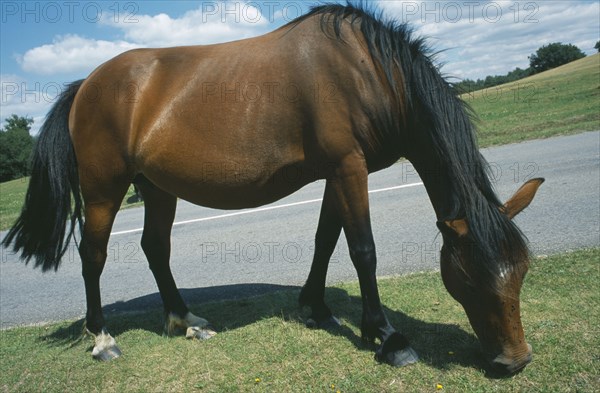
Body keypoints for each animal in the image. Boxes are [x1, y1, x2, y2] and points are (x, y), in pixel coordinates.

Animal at [1, 3, 544, 374]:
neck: (367, 71)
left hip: (155, 188)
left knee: (155, 247)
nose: (515, 360)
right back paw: (103, 339)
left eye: (521, 270)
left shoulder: (338, 171)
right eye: (468, 277)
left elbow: (327, 240)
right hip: (103, 190)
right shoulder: (349, 167)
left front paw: (317, 309)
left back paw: (185, 320)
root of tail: (86, 83)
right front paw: (387, 336)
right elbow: (362, 249)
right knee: (93, 255)